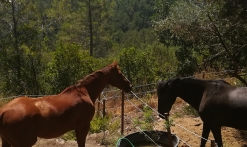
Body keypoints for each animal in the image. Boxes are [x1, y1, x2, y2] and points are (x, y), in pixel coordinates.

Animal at [0, 61, 132, 146]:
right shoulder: (84, 126)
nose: (129, 86)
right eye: (120, 74)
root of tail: (4, 111)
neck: (84, 92)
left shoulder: (77, 128)